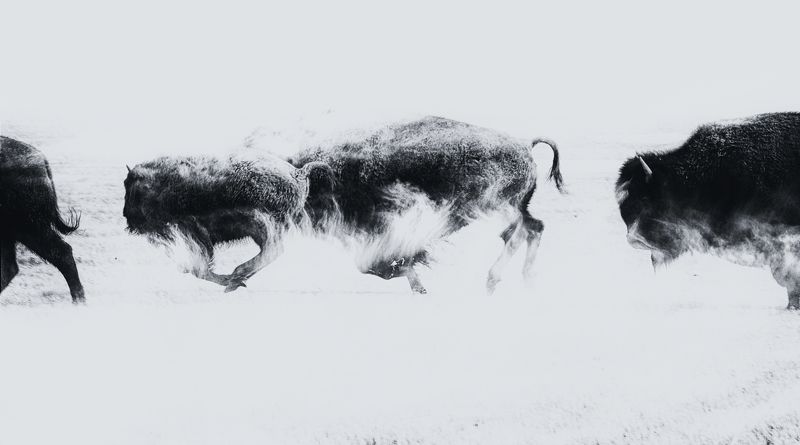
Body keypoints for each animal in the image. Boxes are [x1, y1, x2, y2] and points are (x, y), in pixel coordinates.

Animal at [0, 136, 85, 303]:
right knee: (9, 267)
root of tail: (41, 160)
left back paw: (78, 301)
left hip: (28, 227)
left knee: (62, 252)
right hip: (12, 231)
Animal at [123, 153, 329, 291]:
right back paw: (237, 279)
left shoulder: (193, 231)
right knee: (272, 252)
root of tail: (297, 172)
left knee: (273, 250)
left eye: (133, 188)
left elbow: (199, 267)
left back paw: (236, 276)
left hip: (261, 225)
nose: (127, 216)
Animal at [288, 116, 565, 293]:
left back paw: (493, 279)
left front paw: (417, 281)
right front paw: (417, 284)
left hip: (496, 206)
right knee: (532, 228)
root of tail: (524, 145)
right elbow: (376, 265)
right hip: (511, 207)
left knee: (518, 233)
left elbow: (376, 264)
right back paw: (524, 279)